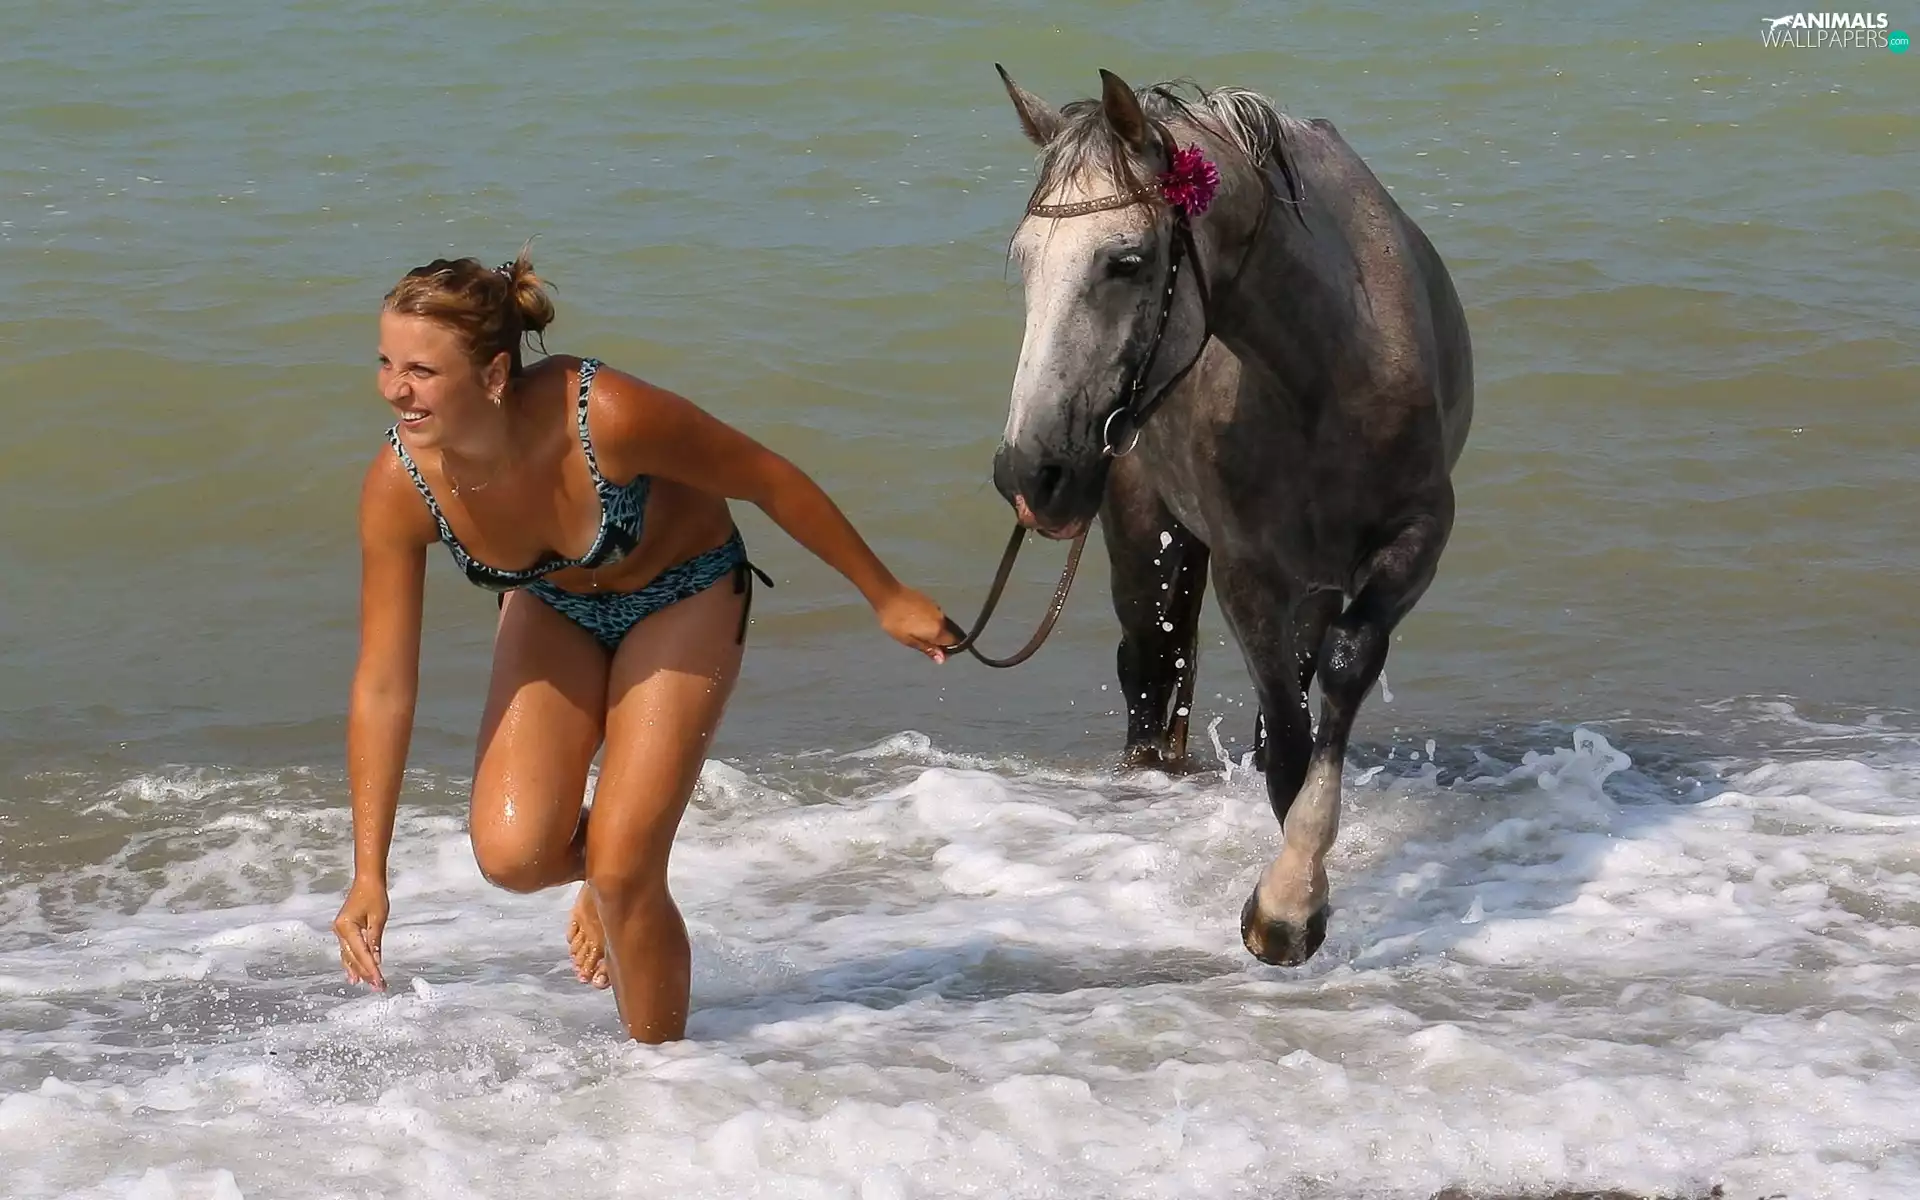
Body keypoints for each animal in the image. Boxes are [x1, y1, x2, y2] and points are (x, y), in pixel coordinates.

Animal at [987, 67, 1474, 967]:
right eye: (1026, 260)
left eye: (1126, 260)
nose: (1029, 474)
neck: (1324, 377)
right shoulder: (1249, 570)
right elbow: (1285, 731)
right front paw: (1290, 904)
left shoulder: (1416, 538)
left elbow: (1343, 670)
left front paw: (1291, 893)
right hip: (1149, 550)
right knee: (1151, 673)